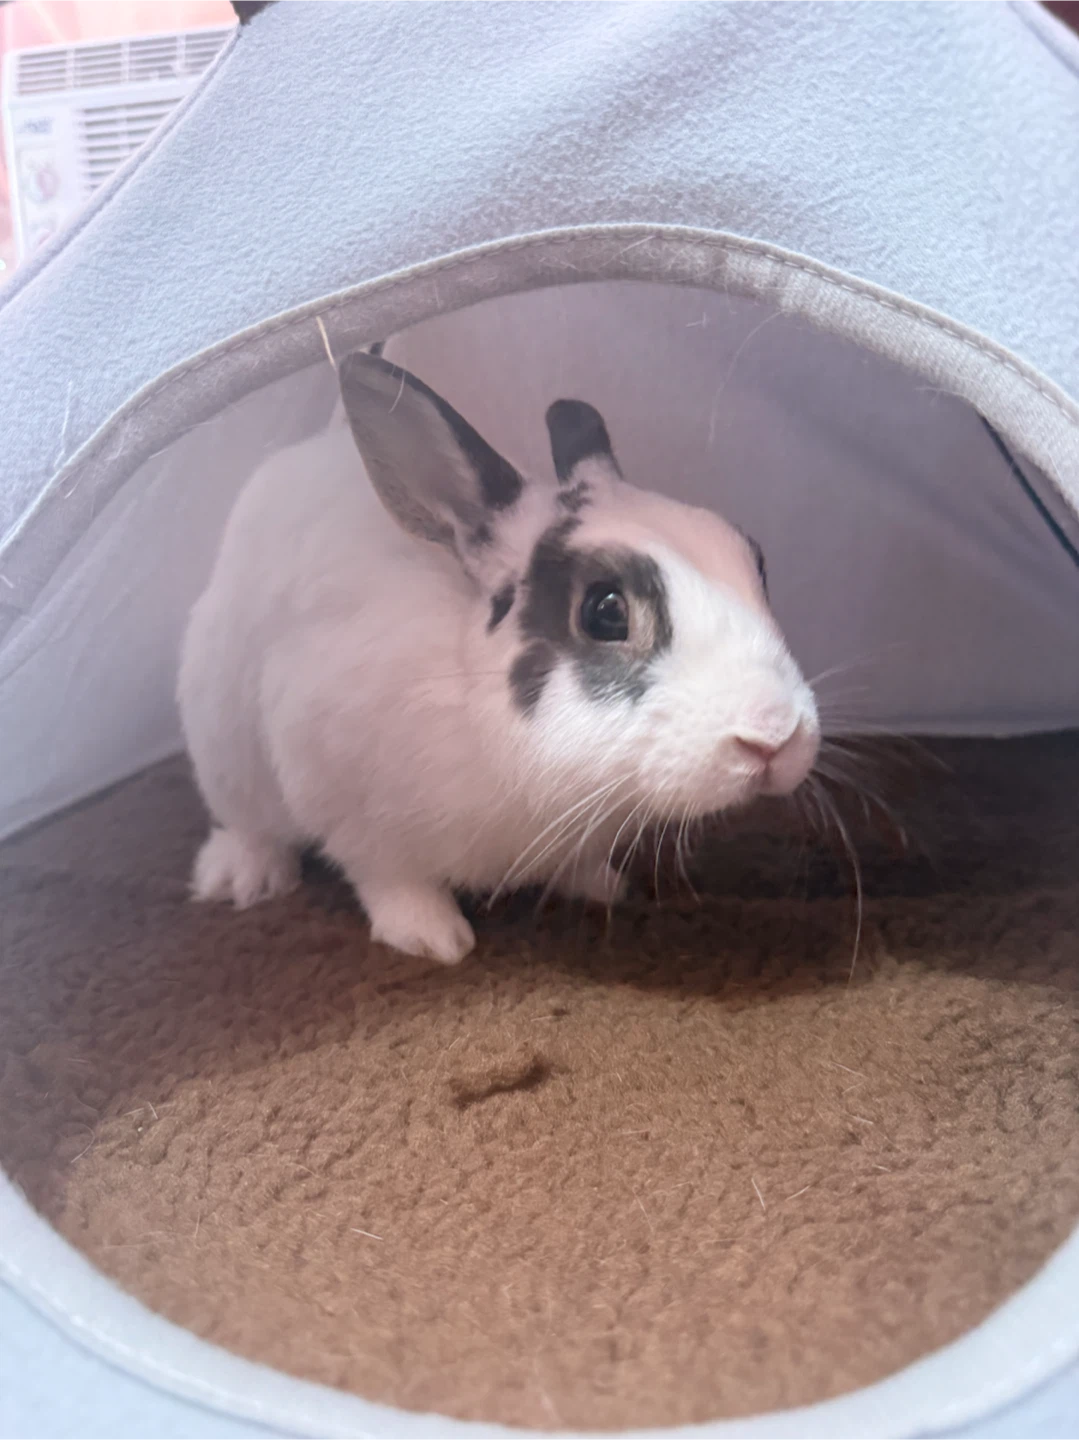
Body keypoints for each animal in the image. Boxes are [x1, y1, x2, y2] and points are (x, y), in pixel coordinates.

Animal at [177, 350, 820, 964]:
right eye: (605, 611)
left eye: (757, 561)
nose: (775, 735)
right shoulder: (344, 801)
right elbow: (388, 878)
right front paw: (434, 939)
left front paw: (603, 887)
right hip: (226, 751)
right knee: (248, 825)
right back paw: (244, 880)